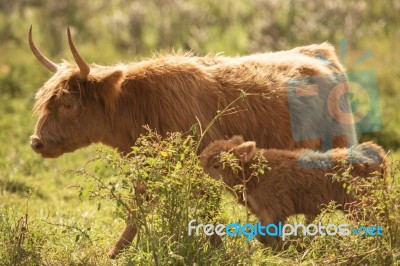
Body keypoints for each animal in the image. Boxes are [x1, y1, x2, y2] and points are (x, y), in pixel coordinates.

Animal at [30, 26, 356, 256]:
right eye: (44, 102)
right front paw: (115, 253)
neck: (138, 105)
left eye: (68, 104)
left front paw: (218, 250)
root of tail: (318, 52)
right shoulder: (151, 170)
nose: (36, 142)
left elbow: (206, 210)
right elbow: (137, 210)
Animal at [200, 137, 388, 247]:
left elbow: (263, 234)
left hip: (360, 207)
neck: (255, 171)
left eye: (216, 165)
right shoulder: (264, 211)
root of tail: (373, 151)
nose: (198, 174)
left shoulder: (276, 208)